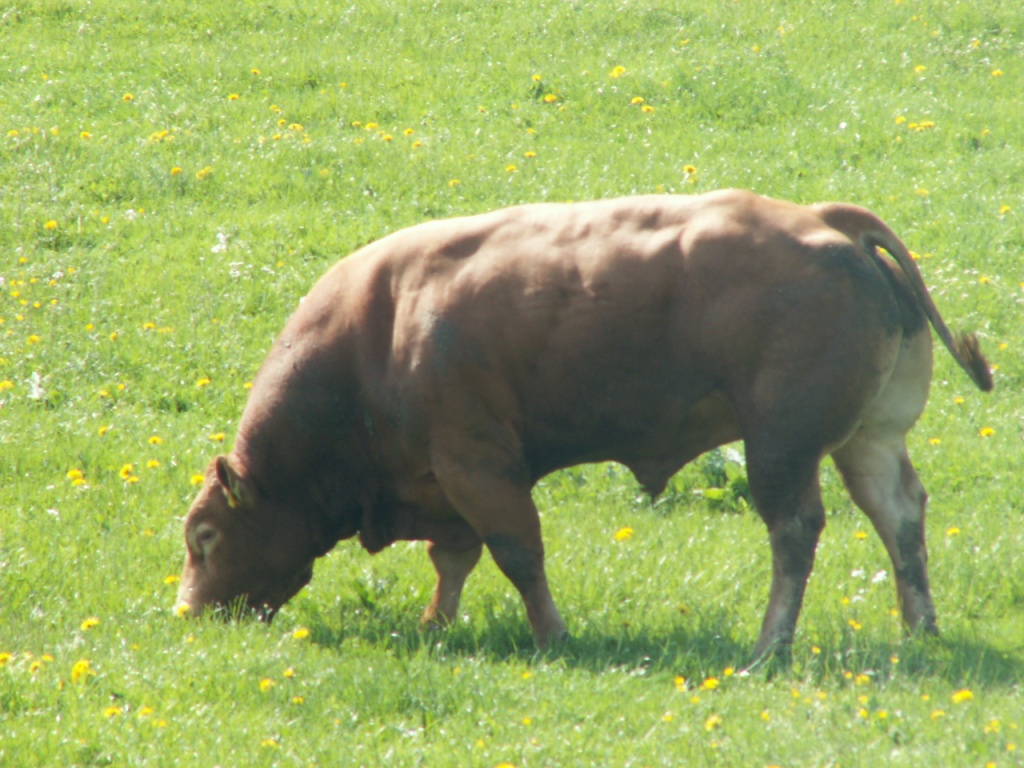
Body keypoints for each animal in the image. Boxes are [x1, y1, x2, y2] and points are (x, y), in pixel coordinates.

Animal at [176, 188, 991, 663]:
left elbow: (517, 553)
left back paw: (769, 647)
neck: (381, 330)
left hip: (779, 450)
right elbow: (454, 559)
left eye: (204, 535)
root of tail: (826, 221)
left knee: (795, 533)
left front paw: (553, 637)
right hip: (869, 441)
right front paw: (435, 624)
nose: (186, 611)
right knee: (898, 516)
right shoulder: (445, 483)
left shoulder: (479, 468)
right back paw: (920, 629)